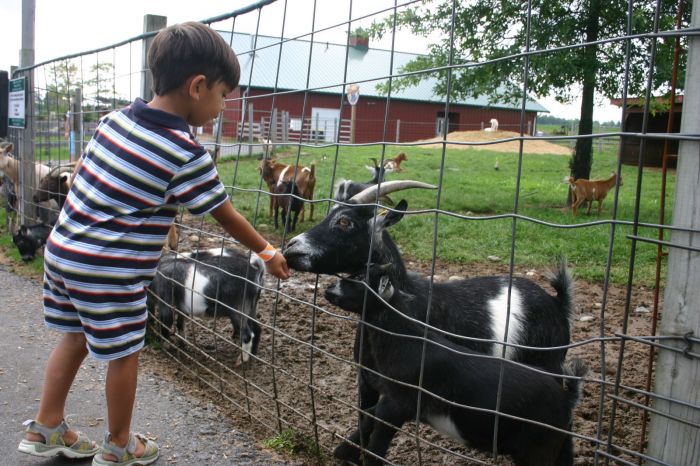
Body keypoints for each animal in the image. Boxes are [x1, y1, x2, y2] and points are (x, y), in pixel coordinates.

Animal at [326, 266, 584, 466]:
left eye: (359, 279)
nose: (328, 290)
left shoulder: (398, 402)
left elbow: (377, 444)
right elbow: (368, 414)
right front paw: (341, 453)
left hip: (538, 438)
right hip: (558, 439)